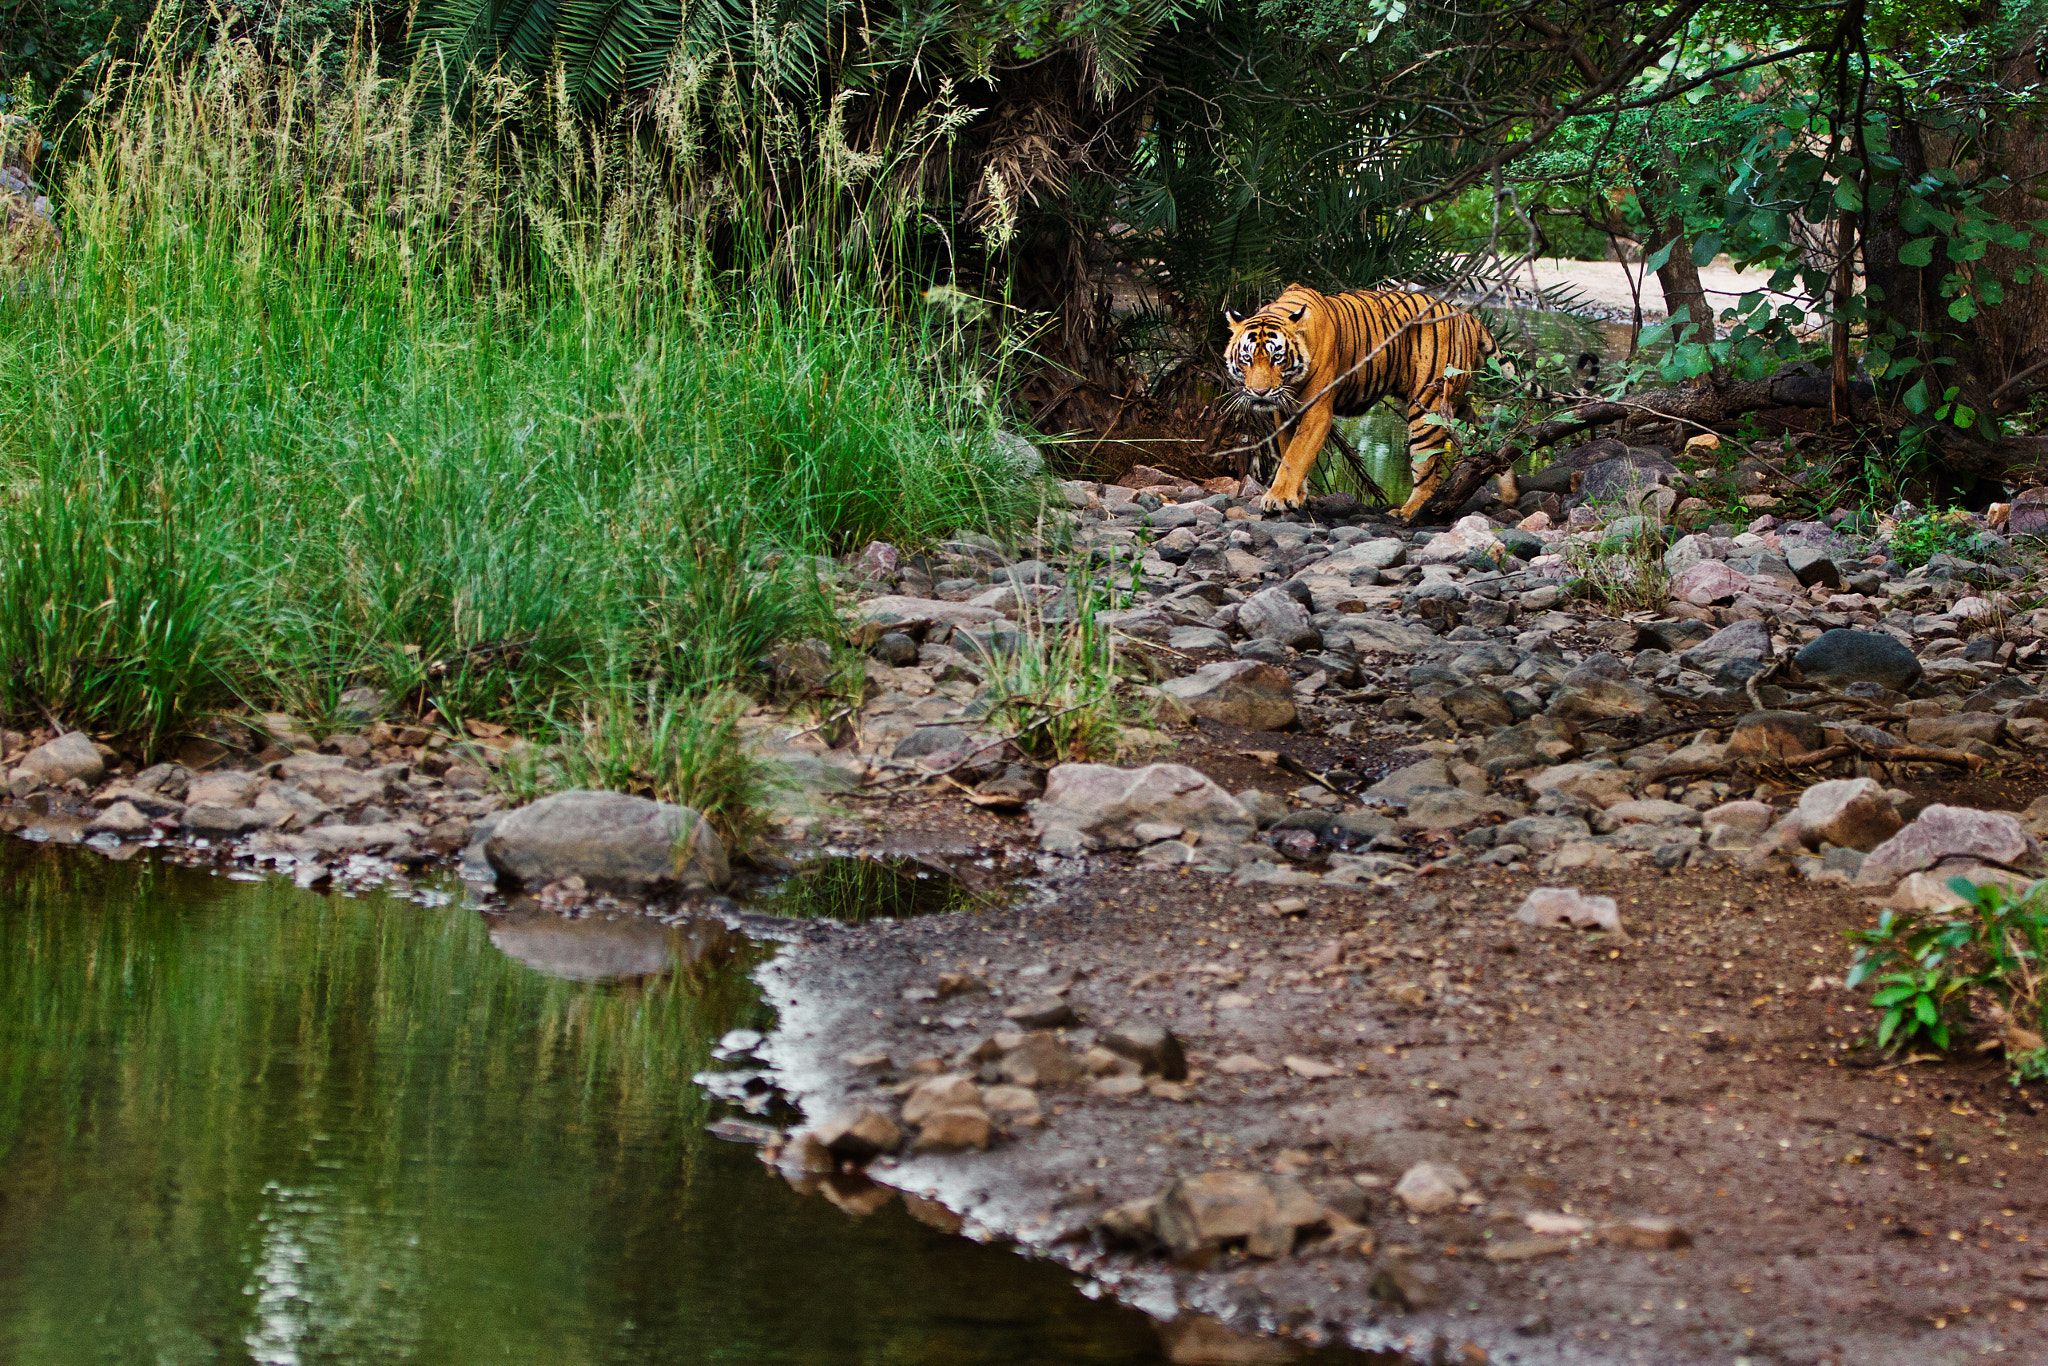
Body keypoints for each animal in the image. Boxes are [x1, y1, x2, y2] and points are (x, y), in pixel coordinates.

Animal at [1222, 284, 1503, 520]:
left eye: (1277, 358)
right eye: (1247, 359)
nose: (1260, 392)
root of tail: (1465, 315)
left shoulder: (1317, 412)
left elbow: (1296, 454)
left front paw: (1278, 498)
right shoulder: (1285, 412)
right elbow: (1287, 452)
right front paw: (1297, 496)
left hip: (1428, 406)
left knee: (1428, 469)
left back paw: (1407, 512)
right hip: (1456, 402)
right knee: (1486, 438)